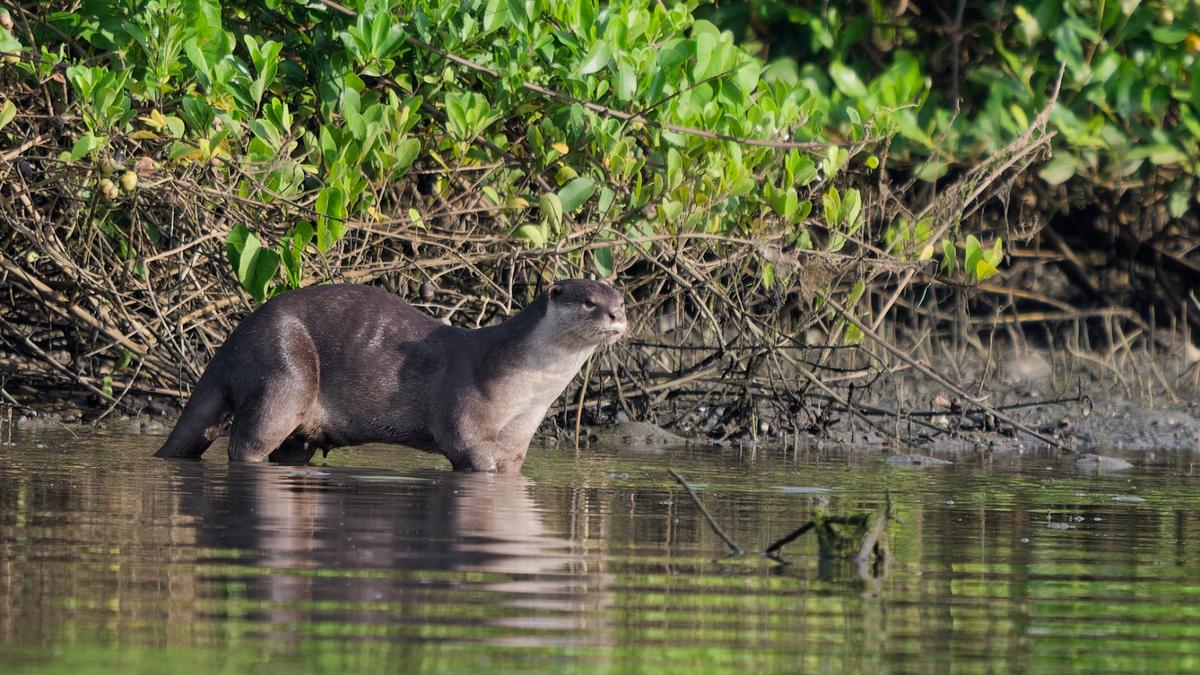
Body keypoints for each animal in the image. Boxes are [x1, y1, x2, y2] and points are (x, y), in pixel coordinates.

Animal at [153, 280, 626, 473]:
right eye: (589, 302)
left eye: (619, 298)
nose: (617, 315)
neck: (524, 389)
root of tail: (231, 342)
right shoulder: (464, 408)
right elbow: (466, 447)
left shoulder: (519, 436)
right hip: (283, 370)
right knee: (246, 443)